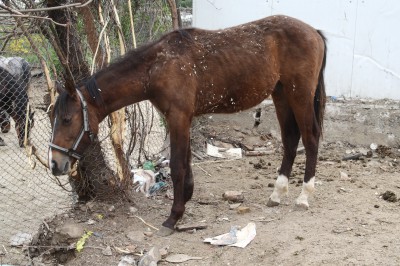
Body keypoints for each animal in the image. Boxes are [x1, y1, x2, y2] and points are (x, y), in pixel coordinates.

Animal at [48, 15, 326, 235]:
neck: (157, 66)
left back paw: (304, 196)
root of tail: (314, 31)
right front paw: (186, 198)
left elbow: (177, 166)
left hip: (299, 95)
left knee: (310, 138)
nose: (55, 164)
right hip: (281, 95)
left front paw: (173, 216)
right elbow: (187, 162)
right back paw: (277, 194)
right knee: (290, 140)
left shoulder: (178, 117)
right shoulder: (182, 119)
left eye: (67, 119)